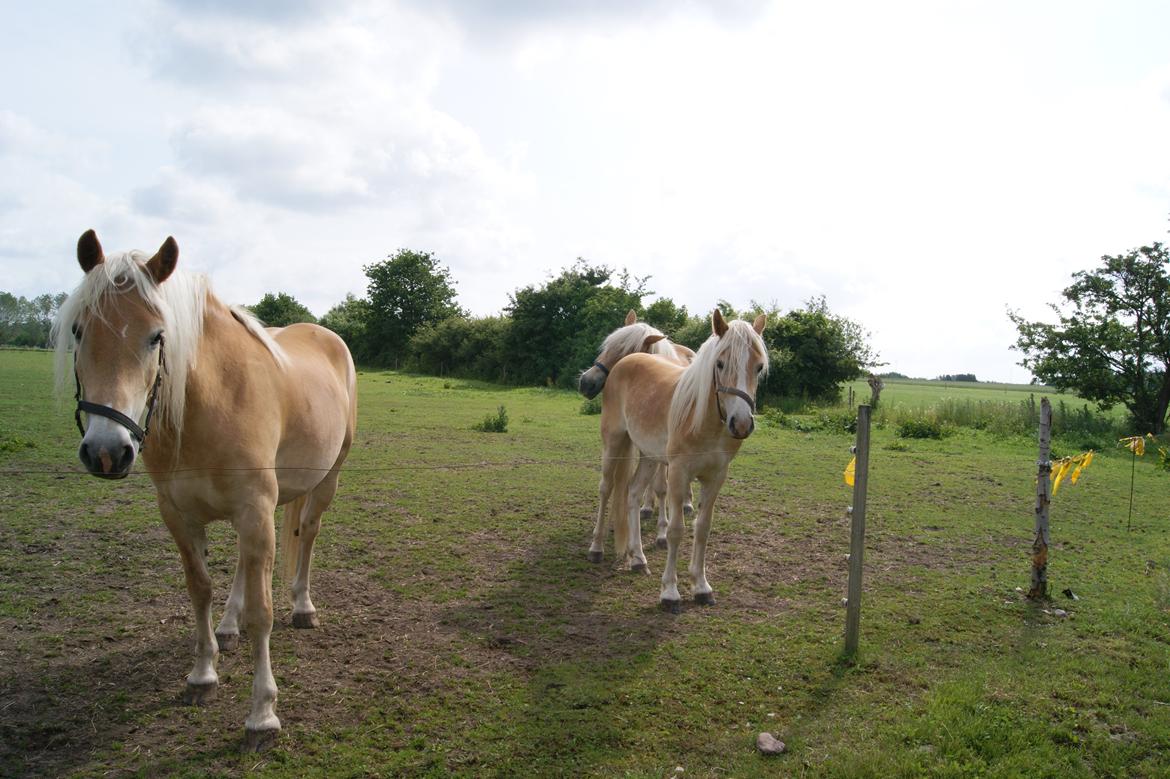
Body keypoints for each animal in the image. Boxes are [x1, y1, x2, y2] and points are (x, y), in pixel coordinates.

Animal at [54, 229, 355, 748]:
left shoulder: (254, 508)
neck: (210, 402)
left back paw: (303, 607)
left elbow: (263, 612)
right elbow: (200, 590)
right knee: (244, 564)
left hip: (324, 481)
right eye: (78, 331)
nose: (106, 451)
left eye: (157, 336)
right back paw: (229, 627)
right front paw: (202, 674)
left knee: (309, 535)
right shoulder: (180, 514)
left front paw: (262, 714)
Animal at [577, 308, 692, 559]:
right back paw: (645, 508)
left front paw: (661, 533)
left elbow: (662, 488)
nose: (586, 382)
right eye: (607, 346)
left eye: (626, 354)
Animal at [594, 308, 767, 608]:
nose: (742, 424)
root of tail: (628, 360)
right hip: (614, 443)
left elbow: (703, 528)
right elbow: (676, 530)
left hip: (650, 456)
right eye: (720, 364)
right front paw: (670, 592)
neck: (704, 421)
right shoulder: (678, 473)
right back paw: (596, 548)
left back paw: (638, 558)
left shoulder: (716, 477)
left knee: (633, 493)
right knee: (606, 488)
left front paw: (701, 587)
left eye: (758, 367)